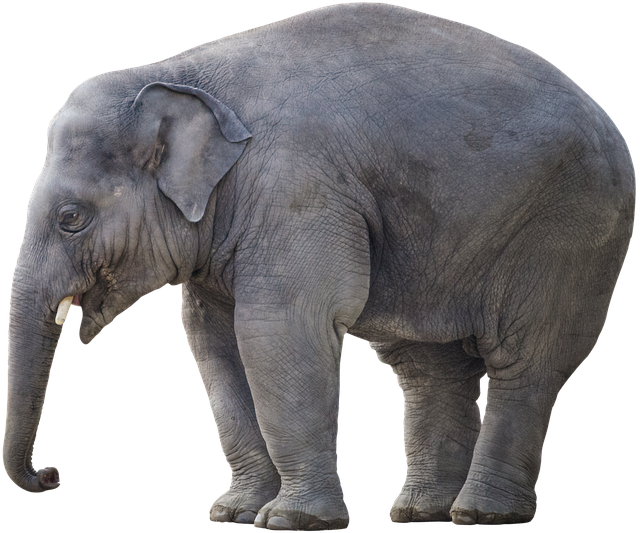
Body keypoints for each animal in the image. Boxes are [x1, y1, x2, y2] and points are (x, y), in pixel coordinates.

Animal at [3, 1, 636, 529]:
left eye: (71, 219)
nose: (51, 475)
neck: (183, 75)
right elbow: (213, 341)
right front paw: (233, 516)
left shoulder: (297, 186)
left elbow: (277, 329)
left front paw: (291, 522)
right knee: (428, 365)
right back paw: (421, 512)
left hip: (570, 227)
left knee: (524, 361)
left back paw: (482, 515)